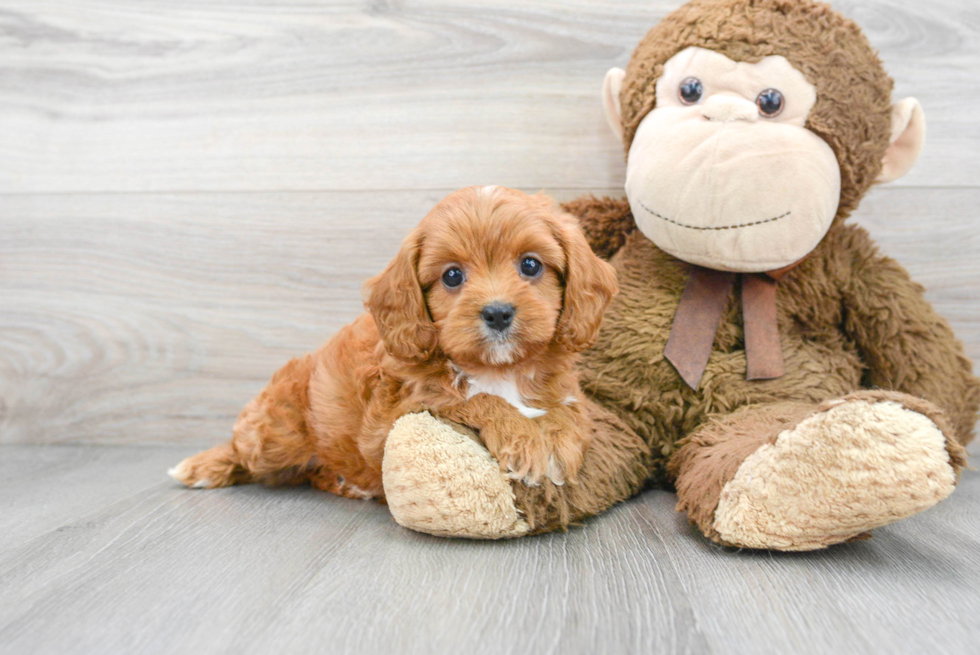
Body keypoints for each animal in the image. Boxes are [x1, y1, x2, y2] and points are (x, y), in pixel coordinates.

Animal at [167, 187, 612, 500]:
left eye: (531, 265)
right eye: (452, 276)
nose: (498, 313)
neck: (499, 368)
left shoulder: (562, 390)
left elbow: (570, 410)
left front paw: (558, 441)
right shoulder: (399, 415)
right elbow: (475, 399)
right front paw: (525, 439)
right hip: (277, 431)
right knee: (244, 447)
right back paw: (204, 466)